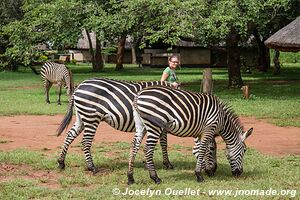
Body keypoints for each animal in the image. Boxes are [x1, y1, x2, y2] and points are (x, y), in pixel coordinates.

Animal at [56, 77, 218, 175]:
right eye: (212, 149)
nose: (213, 171)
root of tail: (79, 87)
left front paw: (149, 164)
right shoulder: (162, 123)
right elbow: (163, 143)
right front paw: (167, 164)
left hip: (82, 117)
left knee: (70, 135)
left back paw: (61, 162)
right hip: (91, 117)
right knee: (85, 142)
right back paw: (92, 167)